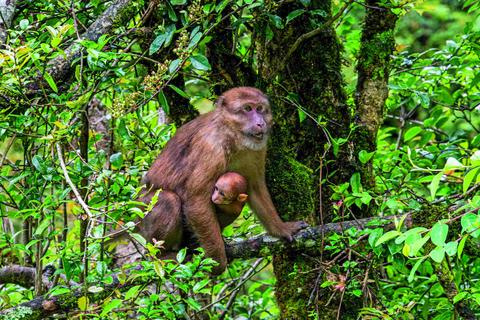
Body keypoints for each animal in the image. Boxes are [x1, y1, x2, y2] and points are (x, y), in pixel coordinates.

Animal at [141, 86, 306, 274]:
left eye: (260, 109)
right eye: (247, 109)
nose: (260, 123)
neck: (232, 136)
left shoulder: (257, 149)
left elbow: (255, 188)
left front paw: (281, 229)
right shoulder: (211, 148)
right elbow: (197, 198)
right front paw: (216, 262)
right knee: (169, 200)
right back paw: (162, 256)